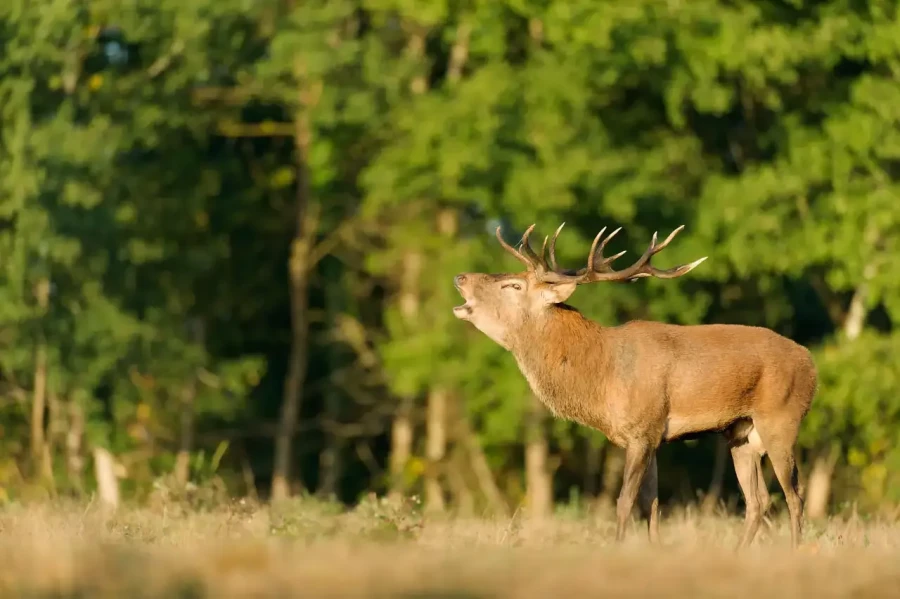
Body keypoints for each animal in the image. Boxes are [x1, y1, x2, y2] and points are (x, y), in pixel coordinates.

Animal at [452, 222, 817, 549]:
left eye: (513, 286)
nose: (461, 277)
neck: (602, 377)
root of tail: (811, 363)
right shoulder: (652, 437)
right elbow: (650, 505)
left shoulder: (643, 429)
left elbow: (624, 501)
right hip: (741, 433)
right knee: (758, 500)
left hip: (781, 419)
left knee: (794, 495)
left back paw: (795, 552)